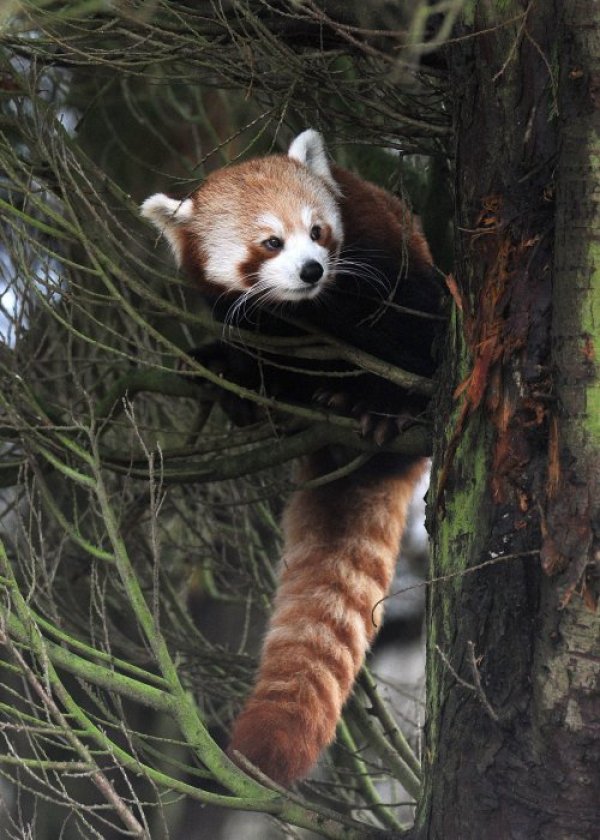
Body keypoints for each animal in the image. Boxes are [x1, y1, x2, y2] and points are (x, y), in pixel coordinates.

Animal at [139, 130, 440, 788]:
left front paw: (392, 401)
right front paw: (243, 380)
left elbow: (416, 335)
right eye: (270, 241)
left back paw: (363, 405)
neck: (315, 308)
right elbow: (256, 343)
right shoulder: (251, 318)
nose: (311, 269)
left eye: (318, 231)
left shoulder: (386, 256)